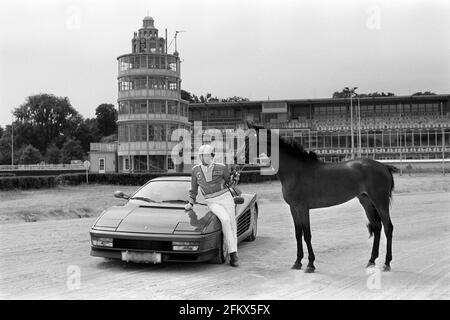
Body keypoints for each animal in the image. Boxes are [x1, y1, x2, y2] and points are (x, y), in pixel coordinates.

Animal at [246, 122, 398, 272]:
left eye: (249, 139)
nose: (240, 159)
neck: (295, 171)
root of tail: (384, 167)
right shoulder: (293, 208)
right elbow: (298, 233)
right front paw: (297, 262)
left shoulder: (303, 208)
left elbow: (307, 235)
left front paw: (310, 264)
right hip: (366, 201)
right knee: (377, 227)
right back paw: (371, 260)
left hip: (380, 202)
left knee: (388, 228)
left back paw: (387, 263)